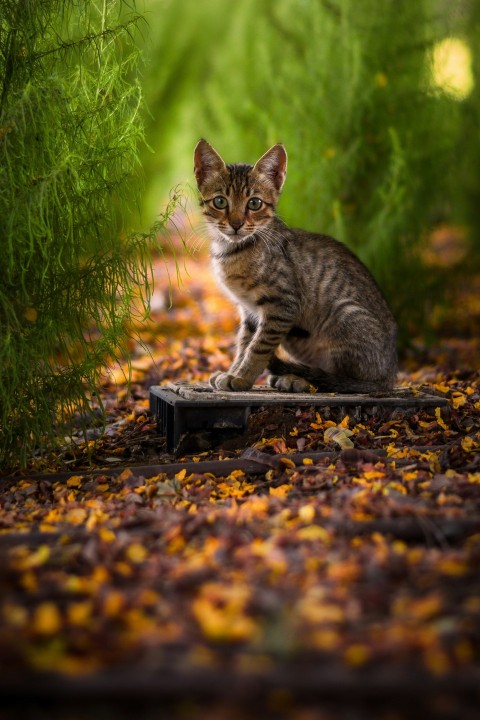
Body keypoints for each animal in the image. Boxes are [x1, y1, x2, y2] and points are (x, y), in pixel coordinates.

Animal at [192, 139, 398, 394]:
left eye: (254, 203)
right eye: (220, 201)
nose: (236, 224)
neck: (231, 251)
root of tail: (390, 377)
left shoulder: (283, 304)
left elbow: (257, 348)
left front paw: (241, 378)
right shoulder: (249, 312)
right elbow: (244, 344)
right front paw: (233, 371)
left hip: (343, 314)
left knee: (339, 381)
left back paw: (300, 380)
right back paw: (292, 378)